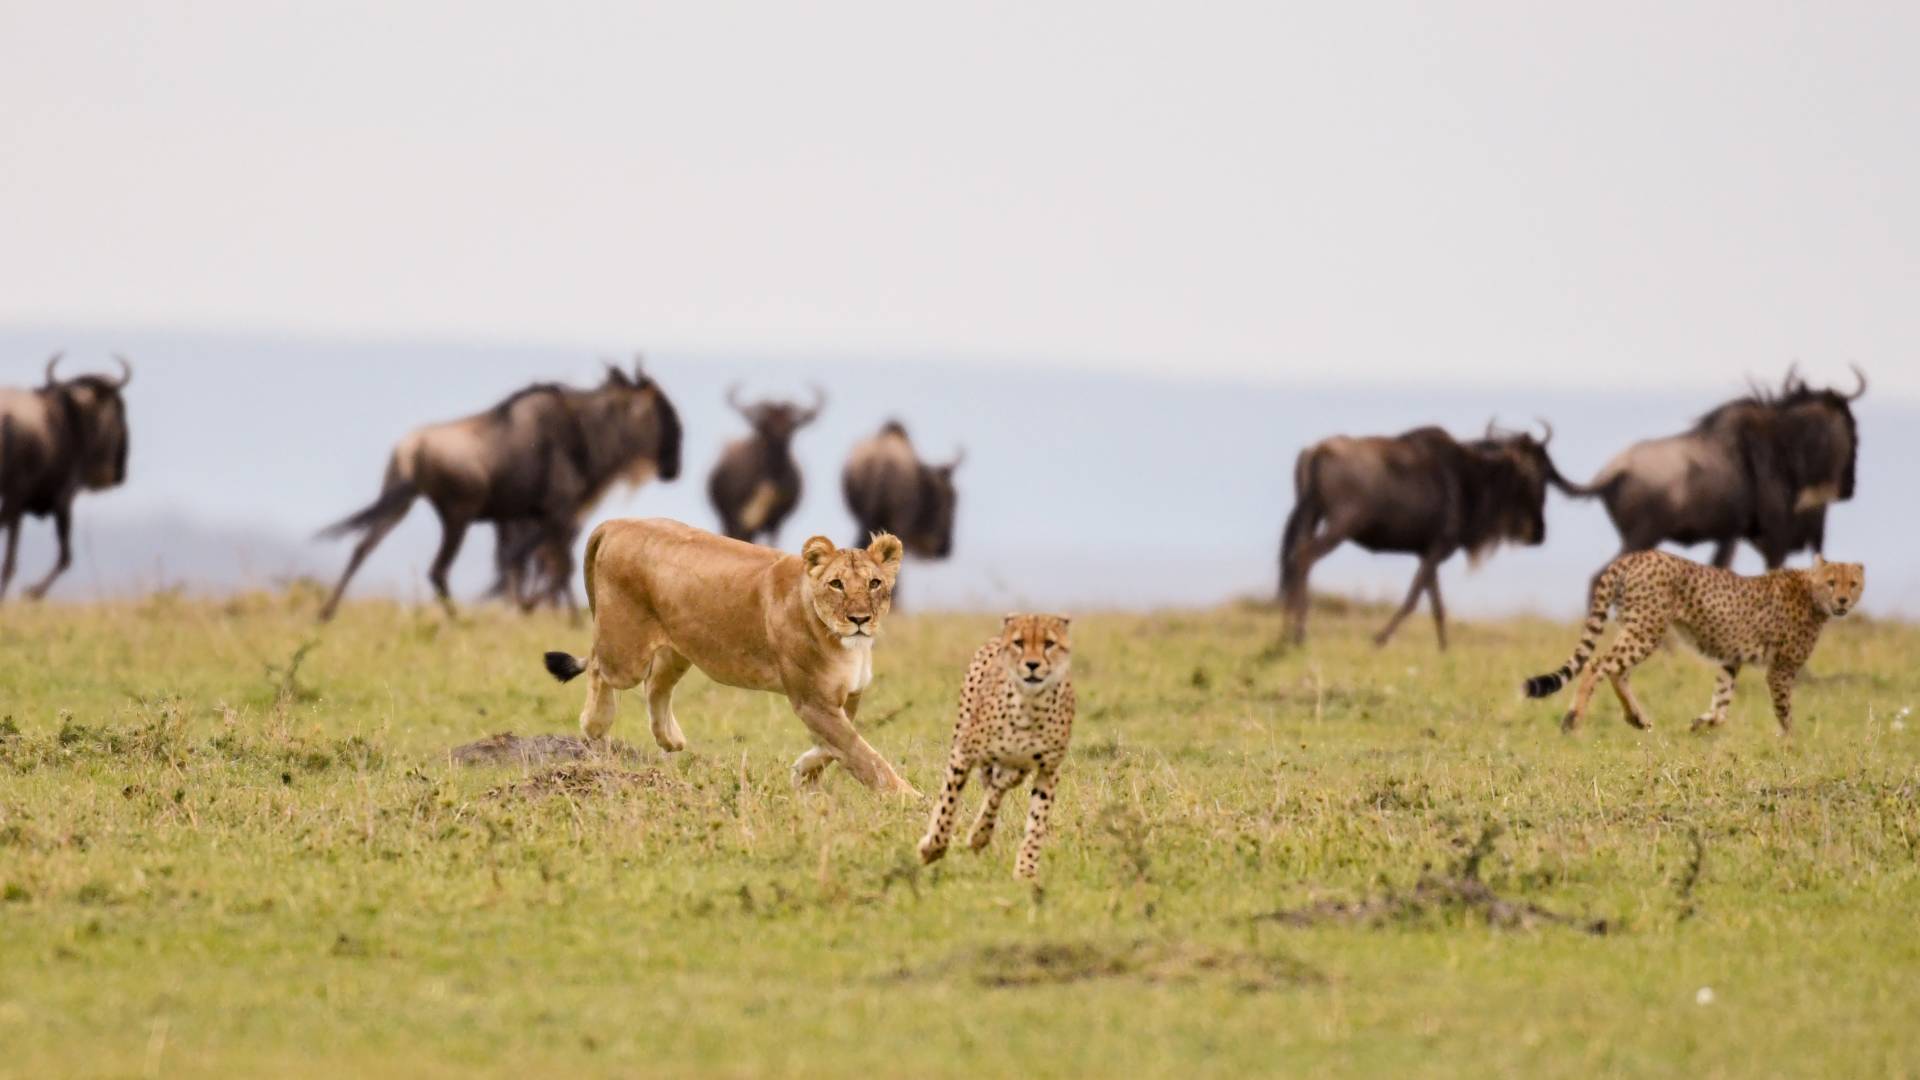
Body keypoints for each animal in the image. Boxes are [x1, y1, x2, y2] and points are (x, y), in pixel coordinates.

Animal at [542, 517, 920, 795]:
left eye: (874, 583)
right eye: (837, 584)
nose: (860, 619)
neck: (845, 644)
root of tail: (615, 523)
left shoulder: (846, 695)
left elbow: (838, 748)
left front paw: (803, 774)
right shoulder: (813, 701)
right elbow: (864, 755)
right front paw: (908, 798)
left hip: (679, 646)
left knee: (655, 685)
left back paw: (670, 738)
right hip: (625, 652)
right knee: (598, 666)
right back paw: (595, 723)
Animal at [917, 614, 1075, 880]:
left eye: (1049, 644)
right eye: (1019, 643)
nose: (1032, 665)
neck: (1029, 705)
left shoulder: (1048, 770)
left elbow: (1037, 822)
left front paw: (1026, 871)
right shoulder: (963, 754)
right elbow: (948, 802)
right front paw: (933, 848)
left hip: (1016, 768)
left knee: (997, 788)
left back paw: (981, 835)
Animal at [1524, 550, 1863, 736]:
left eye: (1853, 584)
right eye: (1832, 582)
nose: (1843, 600)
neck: (1811, 593)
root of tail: (1637, 555)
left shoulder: (1731, 659)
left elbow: (1722, 702)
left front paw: (1703, 723)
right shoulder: (1781, 669)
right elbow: (1784, 710)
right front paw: (1791, 739)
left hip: (1635, 627)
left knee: (1617, 671)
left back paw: (1636, 718)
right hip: (1647, 630)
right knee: (1598, 665)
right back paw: (1573, 719)